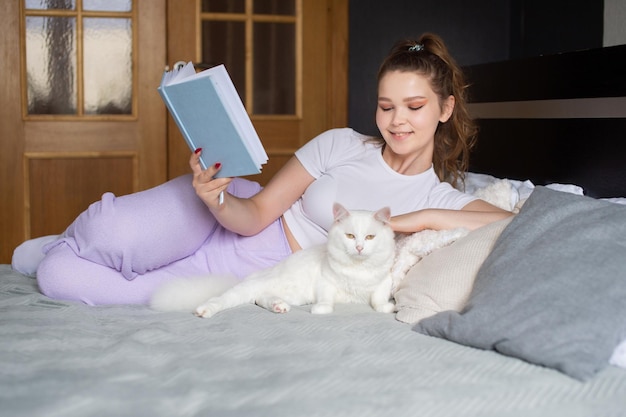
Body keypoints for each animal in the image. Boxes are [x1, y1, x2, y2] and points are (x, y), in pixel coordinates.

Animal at [150, 203, 394, 316]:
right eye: (350, 236)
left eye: (370, 237)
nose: (360, 247)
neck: (358, 270)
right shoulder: (326, 281)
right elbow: (326, 299)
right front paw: (321, 310)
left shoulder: (382, 283)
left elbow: (378, 298)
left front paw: (385, 308)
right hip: (250, 289)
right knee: (223, 299)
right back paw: (203, 311)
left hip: (289, 294)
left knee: (260, 298)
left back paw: (278, 306)